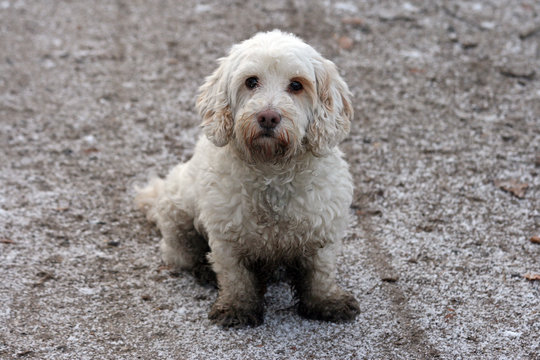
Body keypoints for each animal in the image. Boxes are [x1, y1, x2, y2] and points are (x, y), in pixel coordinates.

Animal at [136, 30, 358, 326]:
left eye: (296, 85)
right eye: (251, 81)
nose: (268, 116)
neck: (272, 171)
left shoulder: (323, 232)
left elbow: (320, 273)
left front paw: (326, 302)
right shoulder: (226, 238)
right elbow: (235, 277)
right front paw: (237, 307)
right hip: (177, 213)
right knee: (182, 253)